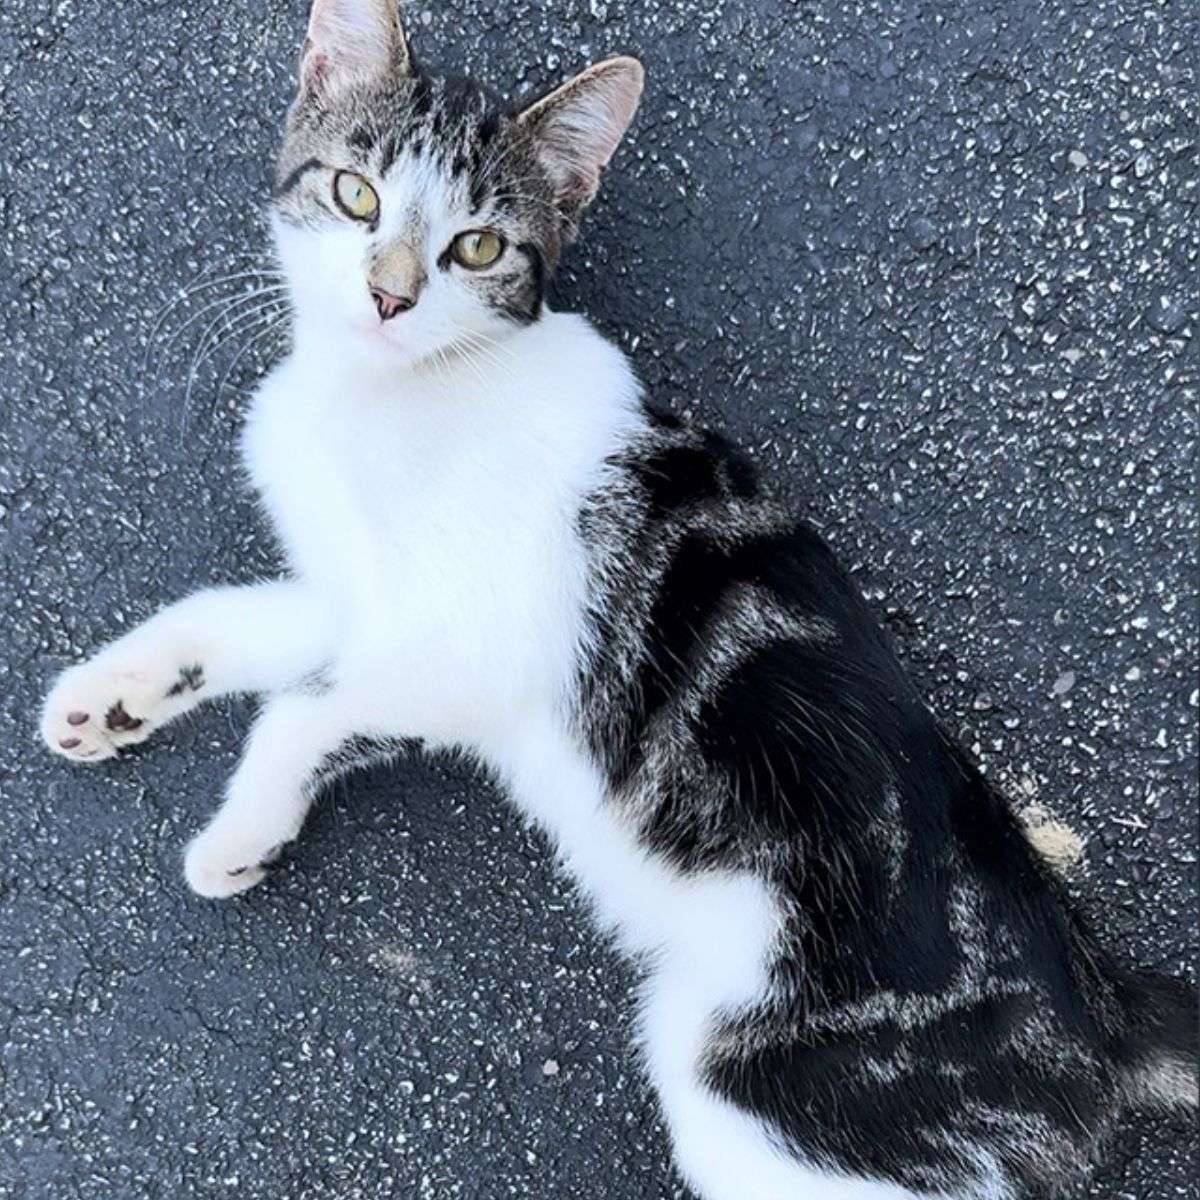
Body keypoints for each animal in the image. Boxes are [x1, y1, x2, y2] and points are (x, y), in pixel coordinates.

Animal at [35, 2, 1190, 1200]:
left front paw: (240, 833)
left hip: (760, 1101)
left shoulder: (469, 648)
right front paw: (116, 696)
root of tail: (1097, 1008)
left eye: (478, 246)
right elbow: (238, 621)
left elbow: (302, 711)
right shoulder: (363, 603)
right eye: (357, 194)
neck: (385, 391)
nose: (390, 296)